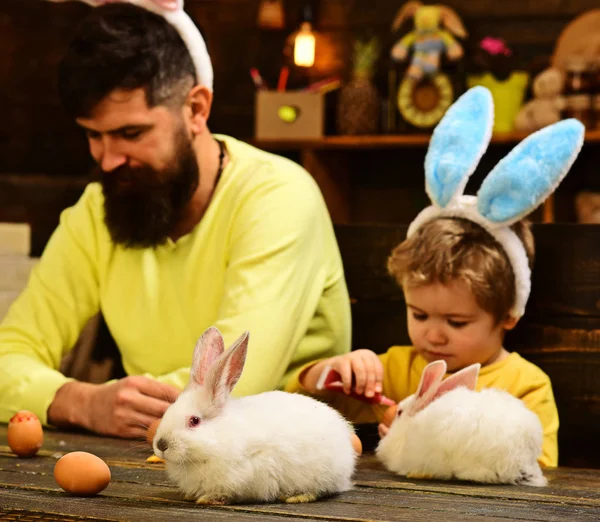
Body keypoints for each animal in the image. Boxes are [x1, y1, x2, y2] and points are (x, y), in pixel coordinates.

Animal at [154, 328, 356, 502]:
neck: (220, 437)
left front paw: (210, 498)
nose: (161, 445)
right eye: (168, 411)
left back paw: (297, 497)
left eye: (194, 421)